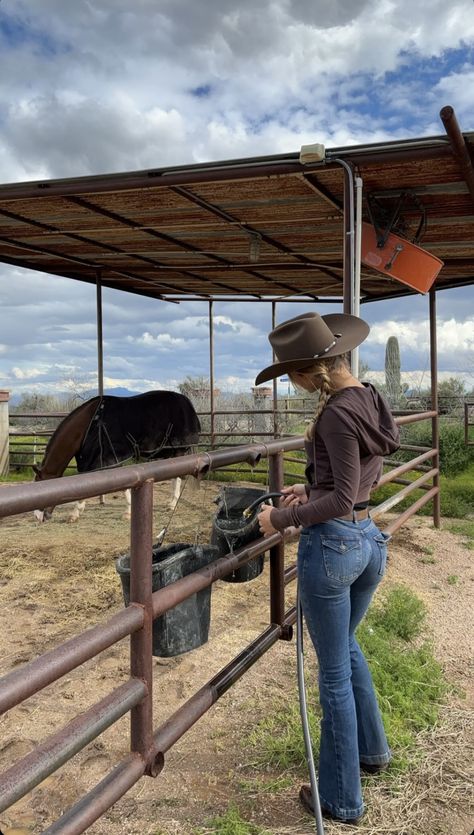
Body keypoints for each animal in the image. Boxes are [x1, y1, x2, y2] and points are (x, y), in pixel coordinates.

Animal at [32, 392, 200, 524]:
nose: (37, 517)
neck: (89, 426)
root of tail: (186, 402)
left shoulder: (111, 459)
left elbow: (123, 486)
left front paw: (75, 513)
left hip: (178, 451)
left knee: (178, 477)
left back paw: (172, 504)